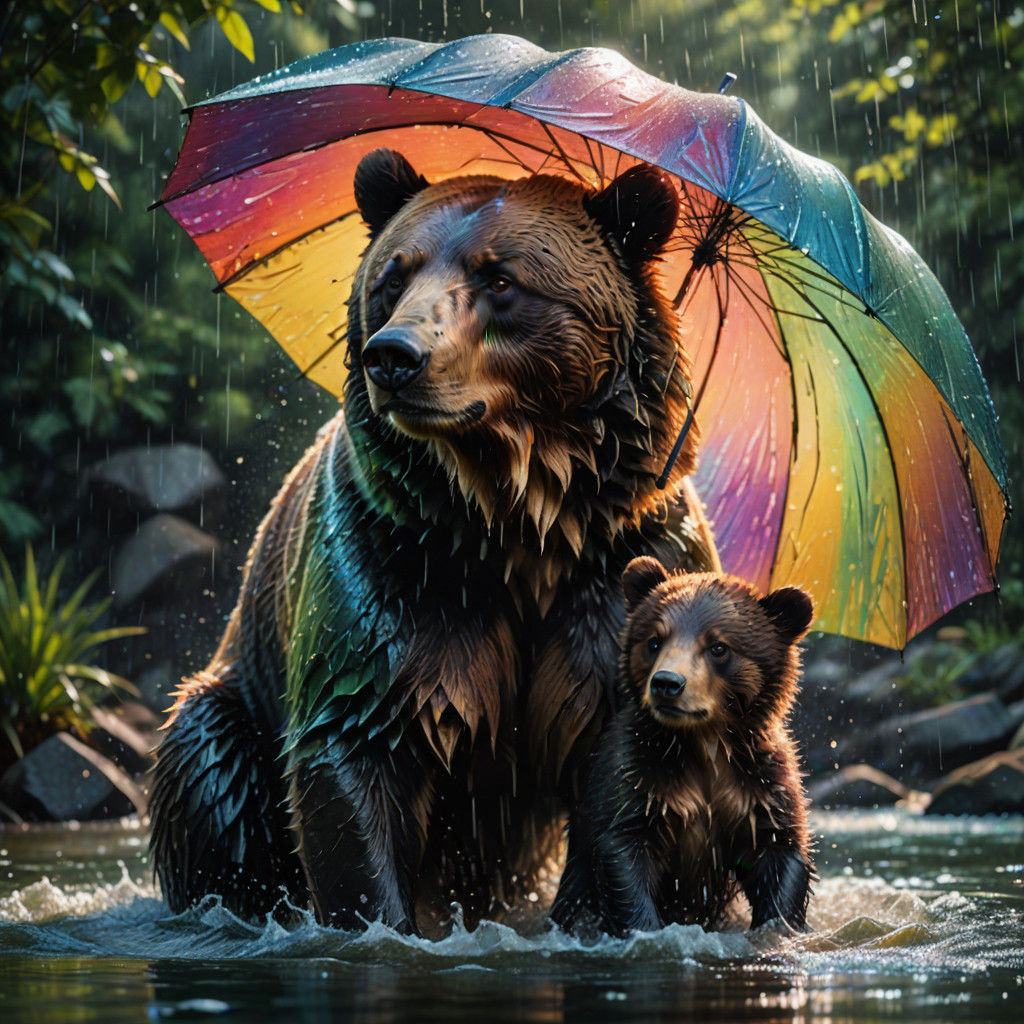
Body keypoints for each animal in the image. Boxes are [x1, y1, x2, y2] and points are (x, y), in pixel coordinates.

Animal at [149, 149, 720, 933]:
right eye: (394, 275)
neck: (515, 520)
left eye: (500, 278)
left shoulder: (623, 568)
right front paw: (380, 923)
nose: (395, 355)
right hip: (238, 698)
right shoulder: (394, 561)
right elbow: (356, 750)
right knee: (211, 771)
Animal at [551, 556, 814, 937]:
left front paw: (778, 926)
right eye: (654, 640)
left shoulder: (758, 785)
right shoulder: (637, 777)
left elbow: (780, 851)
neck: (701, 741)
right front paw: (646, 928)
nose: (667, 683)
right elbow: (624, 856)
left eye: (718, 646)